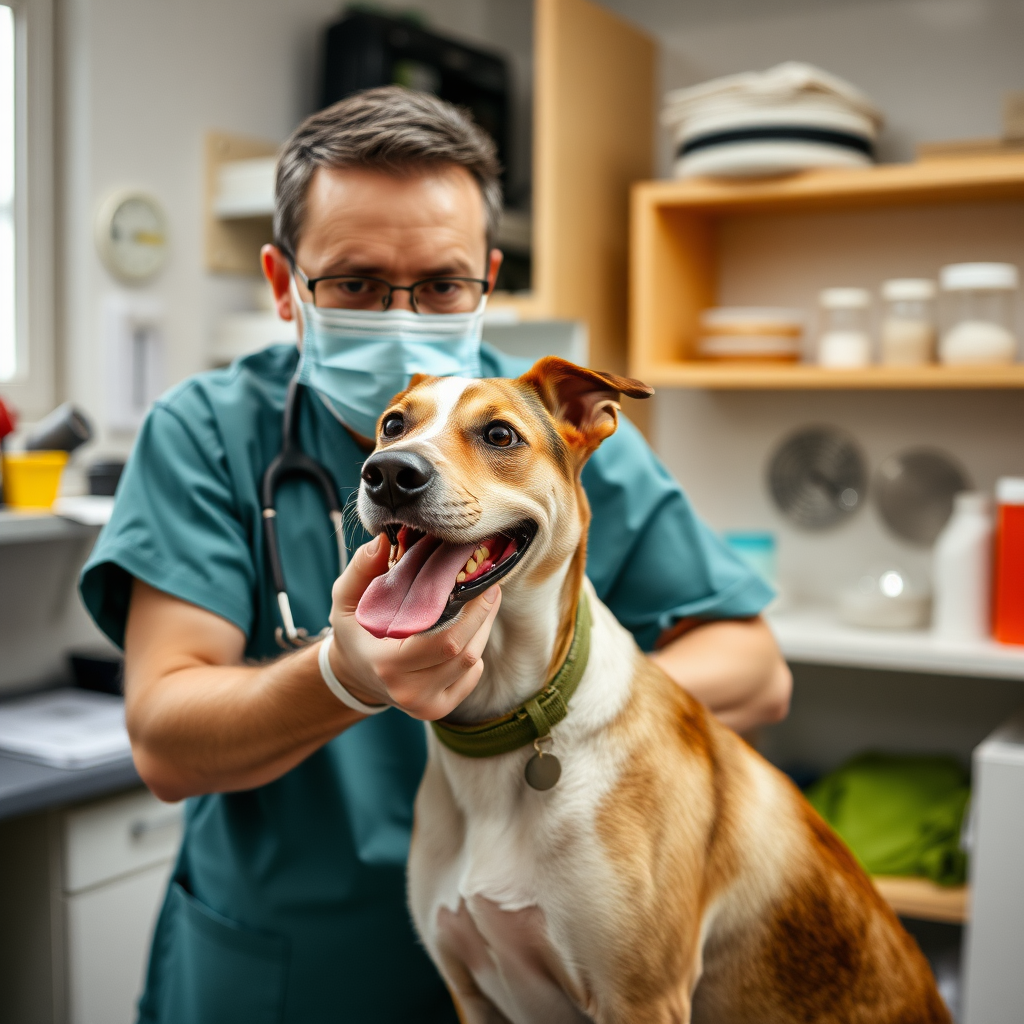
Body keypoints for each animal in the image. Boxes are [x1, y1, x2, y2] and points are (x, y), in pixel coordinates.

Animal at [354, 358, 950, 1024]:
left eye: (500, 435)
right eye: (393, 425)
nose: (389, 473)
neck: (502, 725)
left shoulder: (642, 998)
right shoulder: (471, 993)